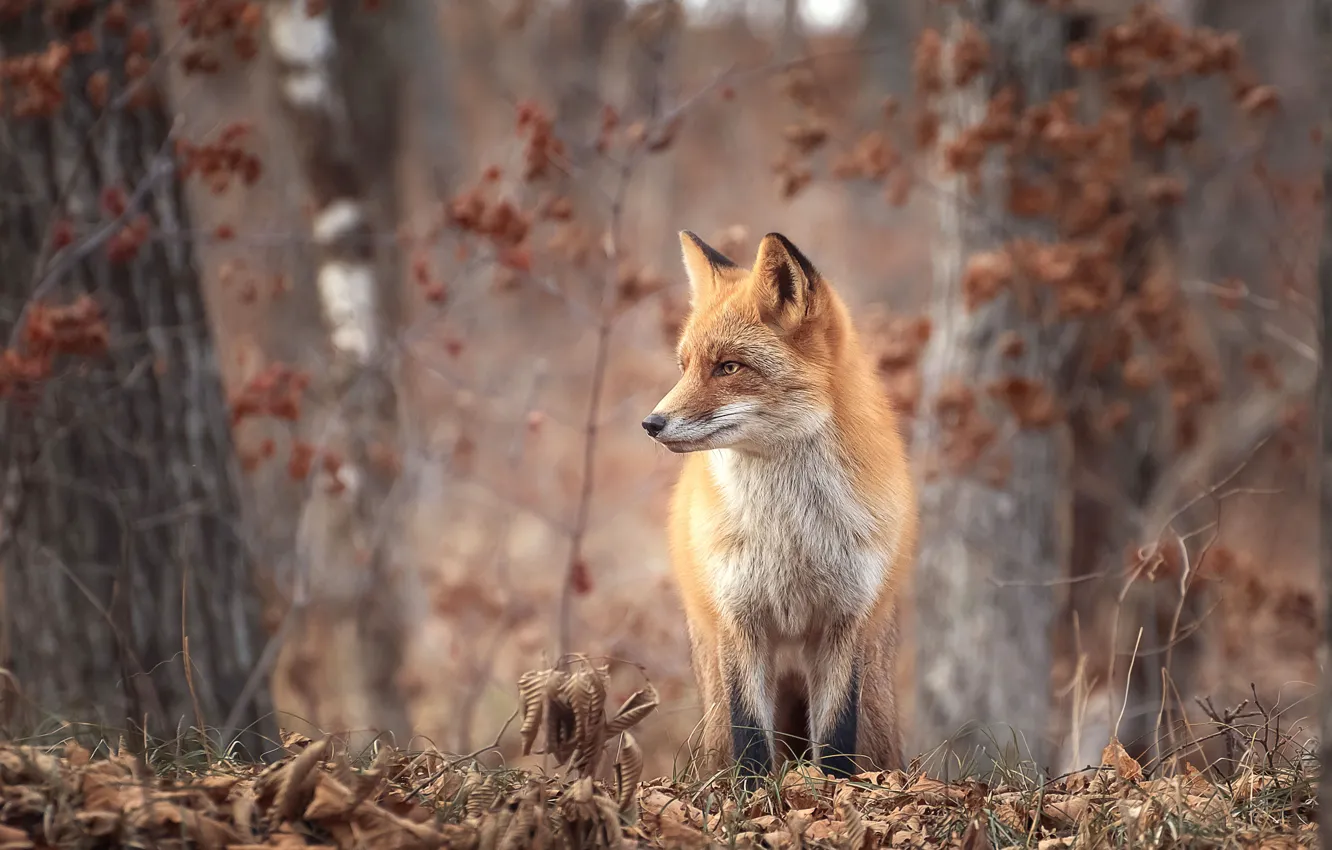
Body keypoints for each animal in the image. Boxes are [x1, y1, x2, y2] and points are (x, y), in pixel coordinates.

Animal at [642, 229, 916, 783]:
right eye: (685, 366)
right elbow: (750, 737)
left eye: (729, 366)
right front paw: (753, 797)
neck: (790, 534)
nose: (651, 423)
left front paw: (830, 794)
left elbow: (835, 741)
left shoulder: (842, 622)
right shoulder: (740, 620)